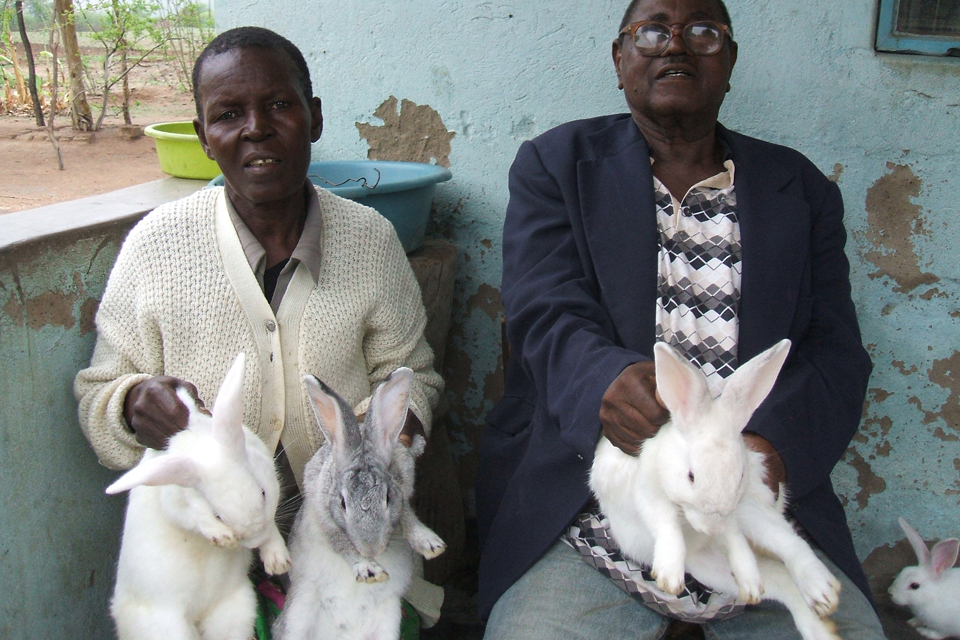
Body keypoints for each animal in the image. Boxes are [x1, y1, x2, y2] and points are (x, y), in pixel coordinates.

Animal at [106, 352, 288, 640]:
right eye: (218, 514)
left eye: (262, 492)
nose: (253, 541)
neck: (195, 438)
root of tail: (198, 614)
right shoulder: (178, 504)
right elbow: (194, 518)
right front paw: (222, 538)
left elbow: (271, 526)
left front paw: (277, 561)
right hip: (165, 627)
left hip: (234, 611)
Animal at [274, 368, 446, 640]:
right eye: (343, 503)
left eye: (387, 498)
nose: (371, 549)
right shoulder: (324, 517)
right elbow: (341, 543)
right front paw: (369, 570)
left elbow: (407, 516)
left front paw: (430, 544)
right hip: (298, 611)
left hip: (389, 618)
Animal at [588, 340, 844, 640]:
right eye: (691, 476)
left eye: (740, 474)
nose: (711, 528)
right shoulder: (651, 497)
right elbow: (667, 527)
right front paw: (669, 575)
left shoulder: (740, 507)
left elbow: (748, 538)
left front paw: (752, 576)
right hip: (706, 566)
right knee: (779, 578)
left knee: (785, 545)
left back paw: (820, 597)